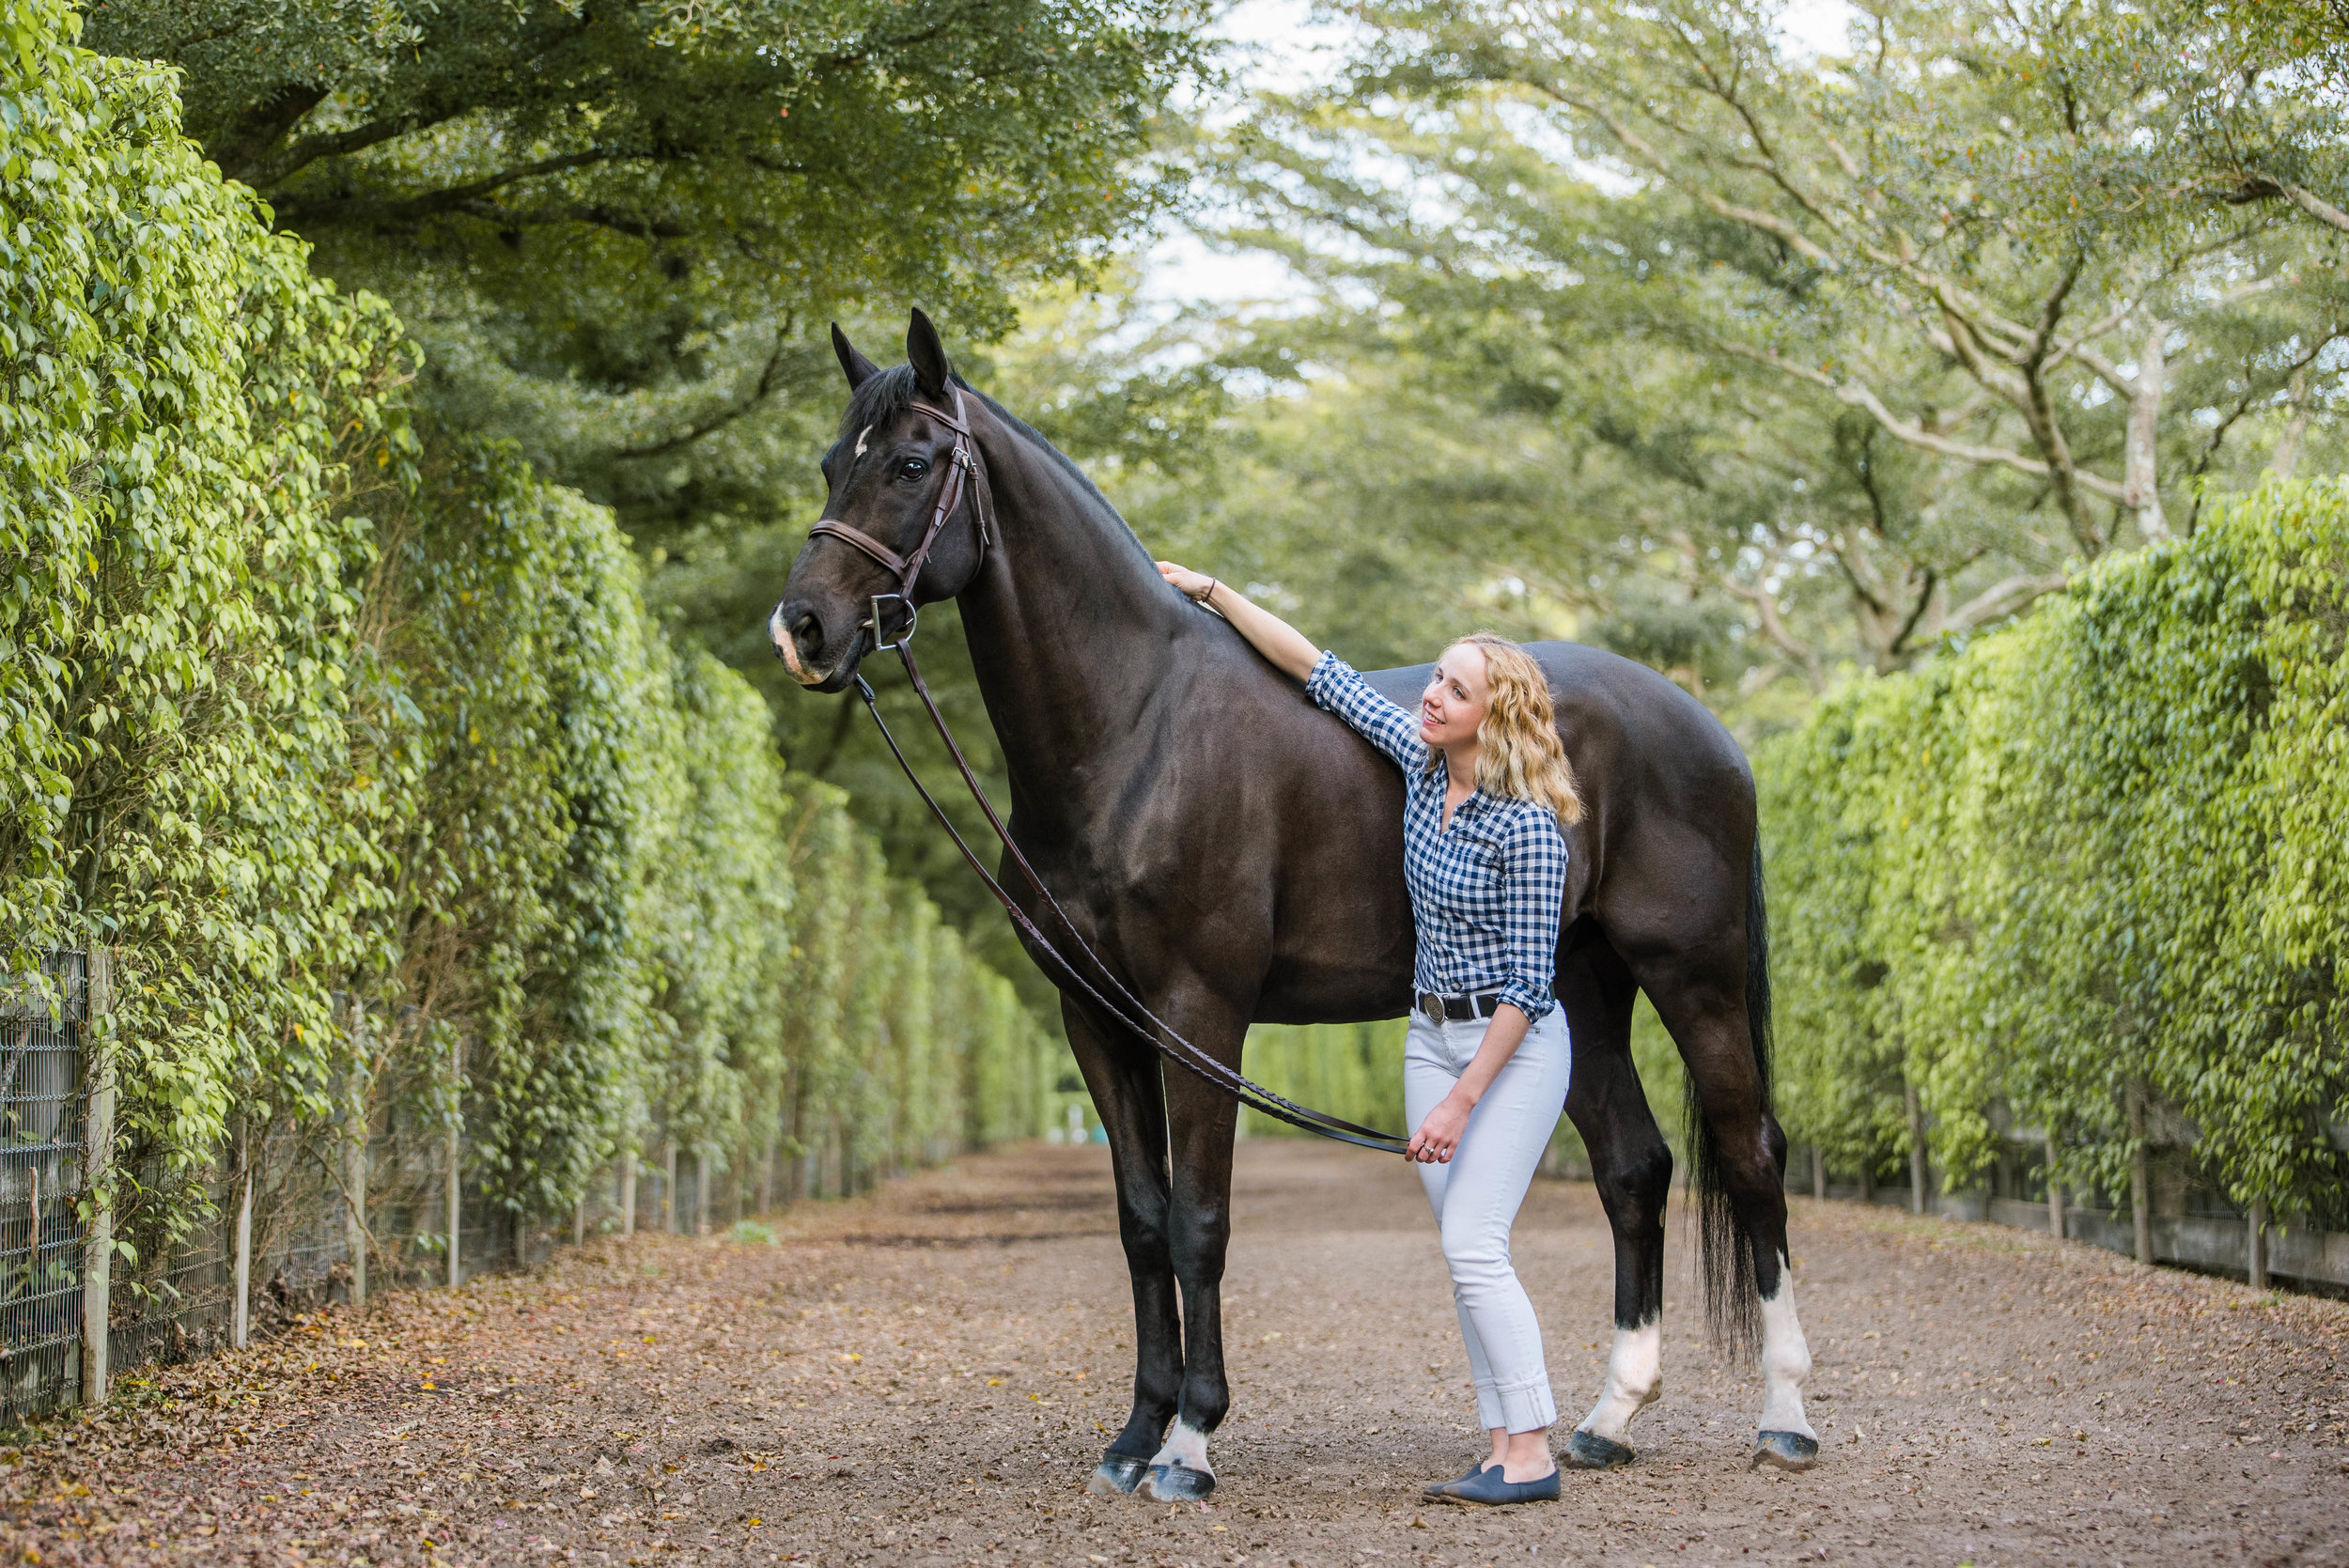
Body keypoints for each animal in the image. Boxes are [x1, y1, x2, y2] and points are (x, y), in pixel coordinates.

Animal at [767, 309, 1819, 1498]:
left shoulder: (1199, 1012)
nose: (802, 627)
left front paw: (1189, 1443)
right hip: (1577, 984)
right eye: (830, 462)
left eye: (909, 463)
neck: (1136, 725)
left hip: (1691, 974)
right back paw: (1607, 1418)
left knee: (1751, 1154)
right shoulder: (1096, 1019)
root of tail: (1705, 727)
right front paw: (1133, 1435)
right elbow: (1140, 1221)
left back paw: (1784, 1416)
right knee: (1635, 1169)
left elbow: (1199, 1220)